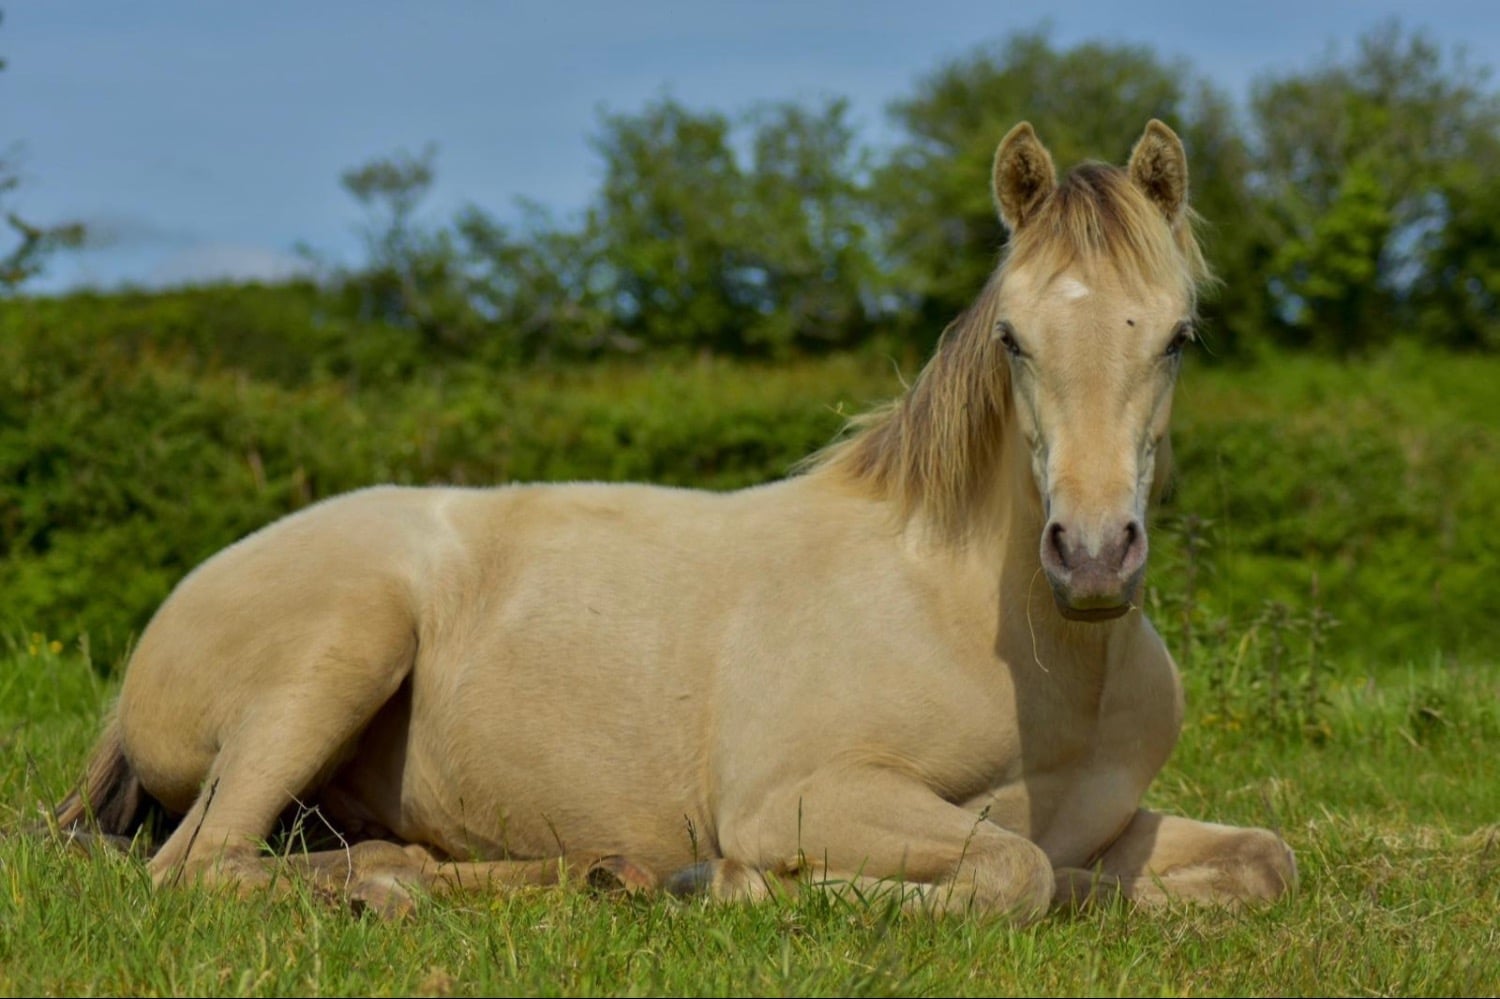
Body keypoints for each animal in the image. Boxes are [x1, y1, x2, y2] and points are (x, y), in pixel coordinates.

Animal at [54, 120, 1295, 921]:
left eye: (1179, 336)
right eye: (1013, 339)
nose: (1091, 559)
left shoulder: (1115, 821)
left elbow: (1261, 859)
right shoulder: (802, 798)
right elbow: (1019, 874)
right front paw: (740, 885)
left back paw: (549, 876)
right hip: (338, 656)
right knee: (203, 868)